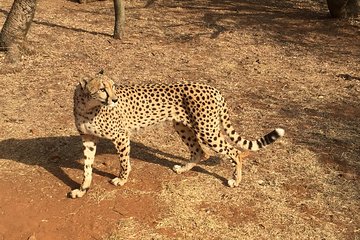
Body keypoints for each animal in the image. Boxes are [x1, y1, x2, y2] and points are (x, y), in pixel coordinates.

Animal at [69, 73, 284, 199]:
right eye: (102, 88)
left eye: (113, 86)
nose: (114, 99)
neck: (88, 106)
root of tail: (214, 89)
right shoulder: (88, 139)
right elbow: (87, 167)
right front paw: (82, 188)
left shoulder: (121, 136)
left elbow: (123, 162)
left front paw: (121, 180)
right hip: (183, 126)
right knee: (200, 152)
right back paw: (183, 169)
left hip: (207, 130)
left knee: (234, 152)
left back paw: (235, 180)